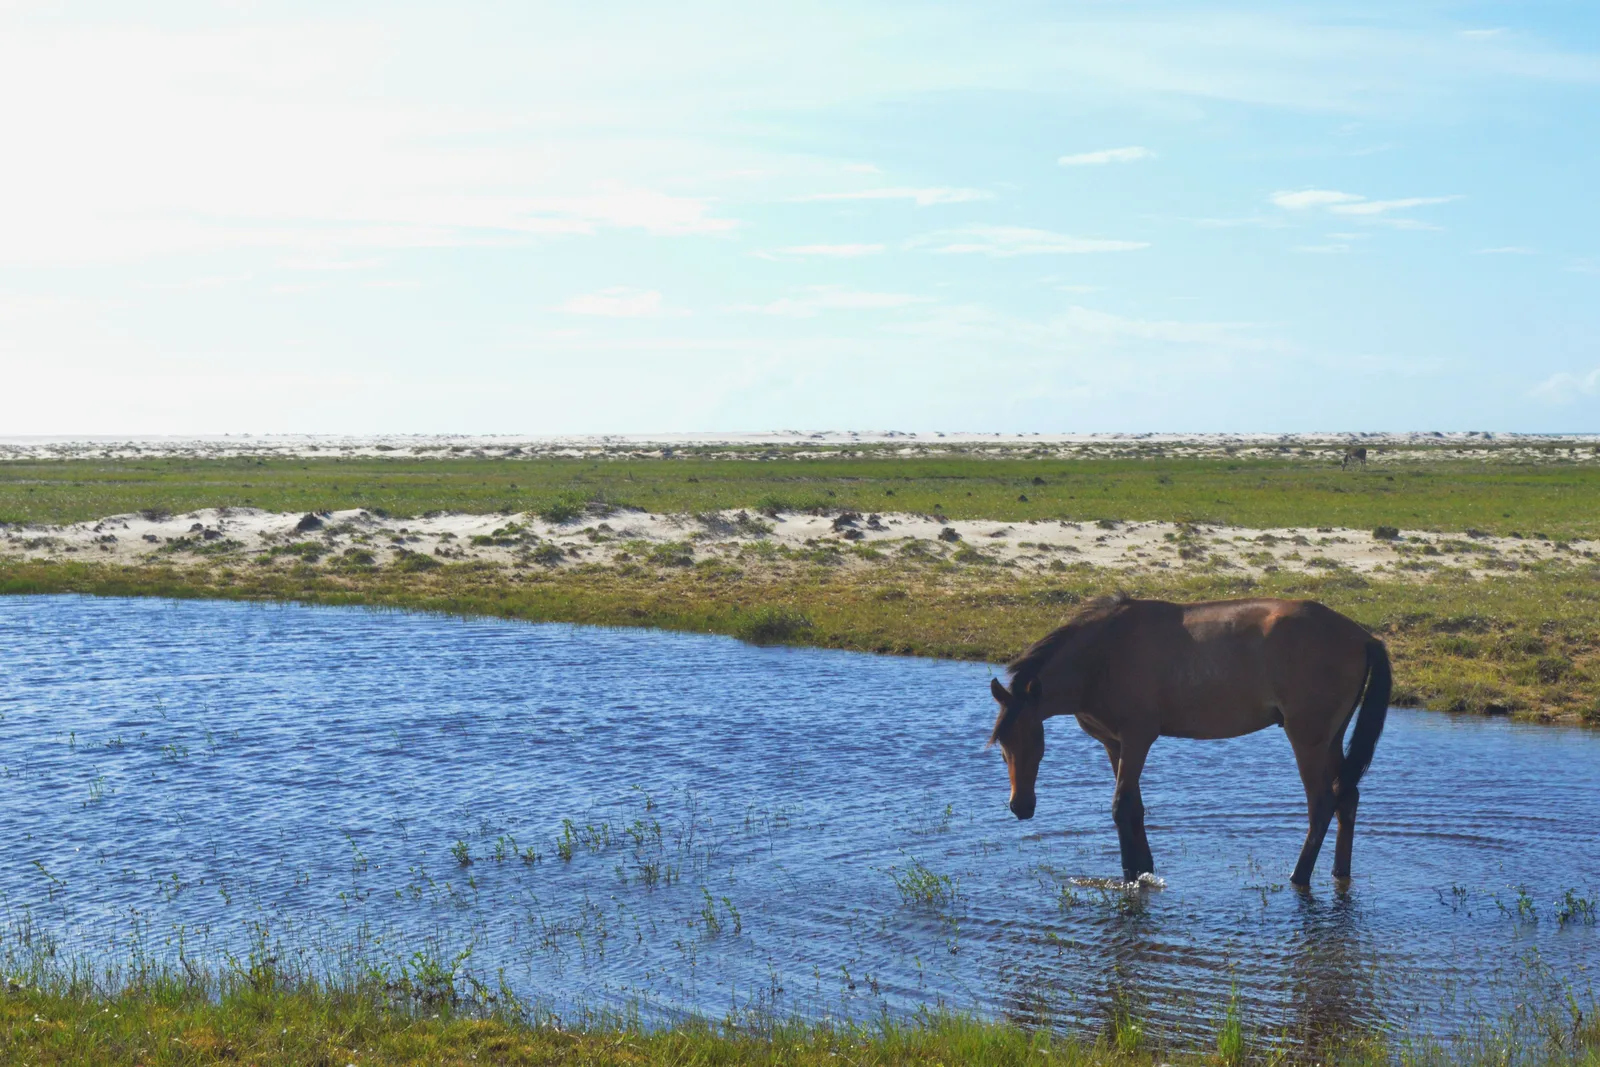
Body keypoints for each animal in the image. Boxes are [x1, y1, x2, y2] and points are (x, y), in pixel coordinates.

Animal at [987, 595, 1389, 887]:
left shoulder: (1137, 738)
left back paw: (1299, 876)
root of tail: (1363, 637)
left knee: (1322, 803)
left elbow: (1121, 807)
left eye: (1034, 741)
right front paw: (1142, 869)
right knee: (1347, 797)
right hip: (1332, 738)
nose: (1020, 807)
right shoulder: (1114, 744)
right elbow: (1134, 808)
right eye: (1003, 748)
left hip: (1307, 737)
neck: (1102, 656)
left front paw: (1132, 875)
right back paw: (1339, 872)